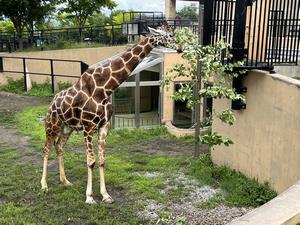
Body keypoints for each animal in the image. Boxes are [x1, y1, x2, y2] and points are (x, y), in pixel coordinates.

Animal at [39, 22, 180, 205]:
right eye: (169, 36)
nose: (180, 49)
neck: (105, 88)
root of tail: (51, 103)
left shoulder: (104, 126)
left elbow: (102, 160)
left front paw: (105, 195)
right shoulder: (88, 127)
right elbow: (90, 161)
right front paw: (89, 197)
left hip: (67, 127)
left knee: (59, 146)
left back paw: (65, 181)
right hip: (52, 125)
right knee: (46, 148)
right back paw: (44, 185)